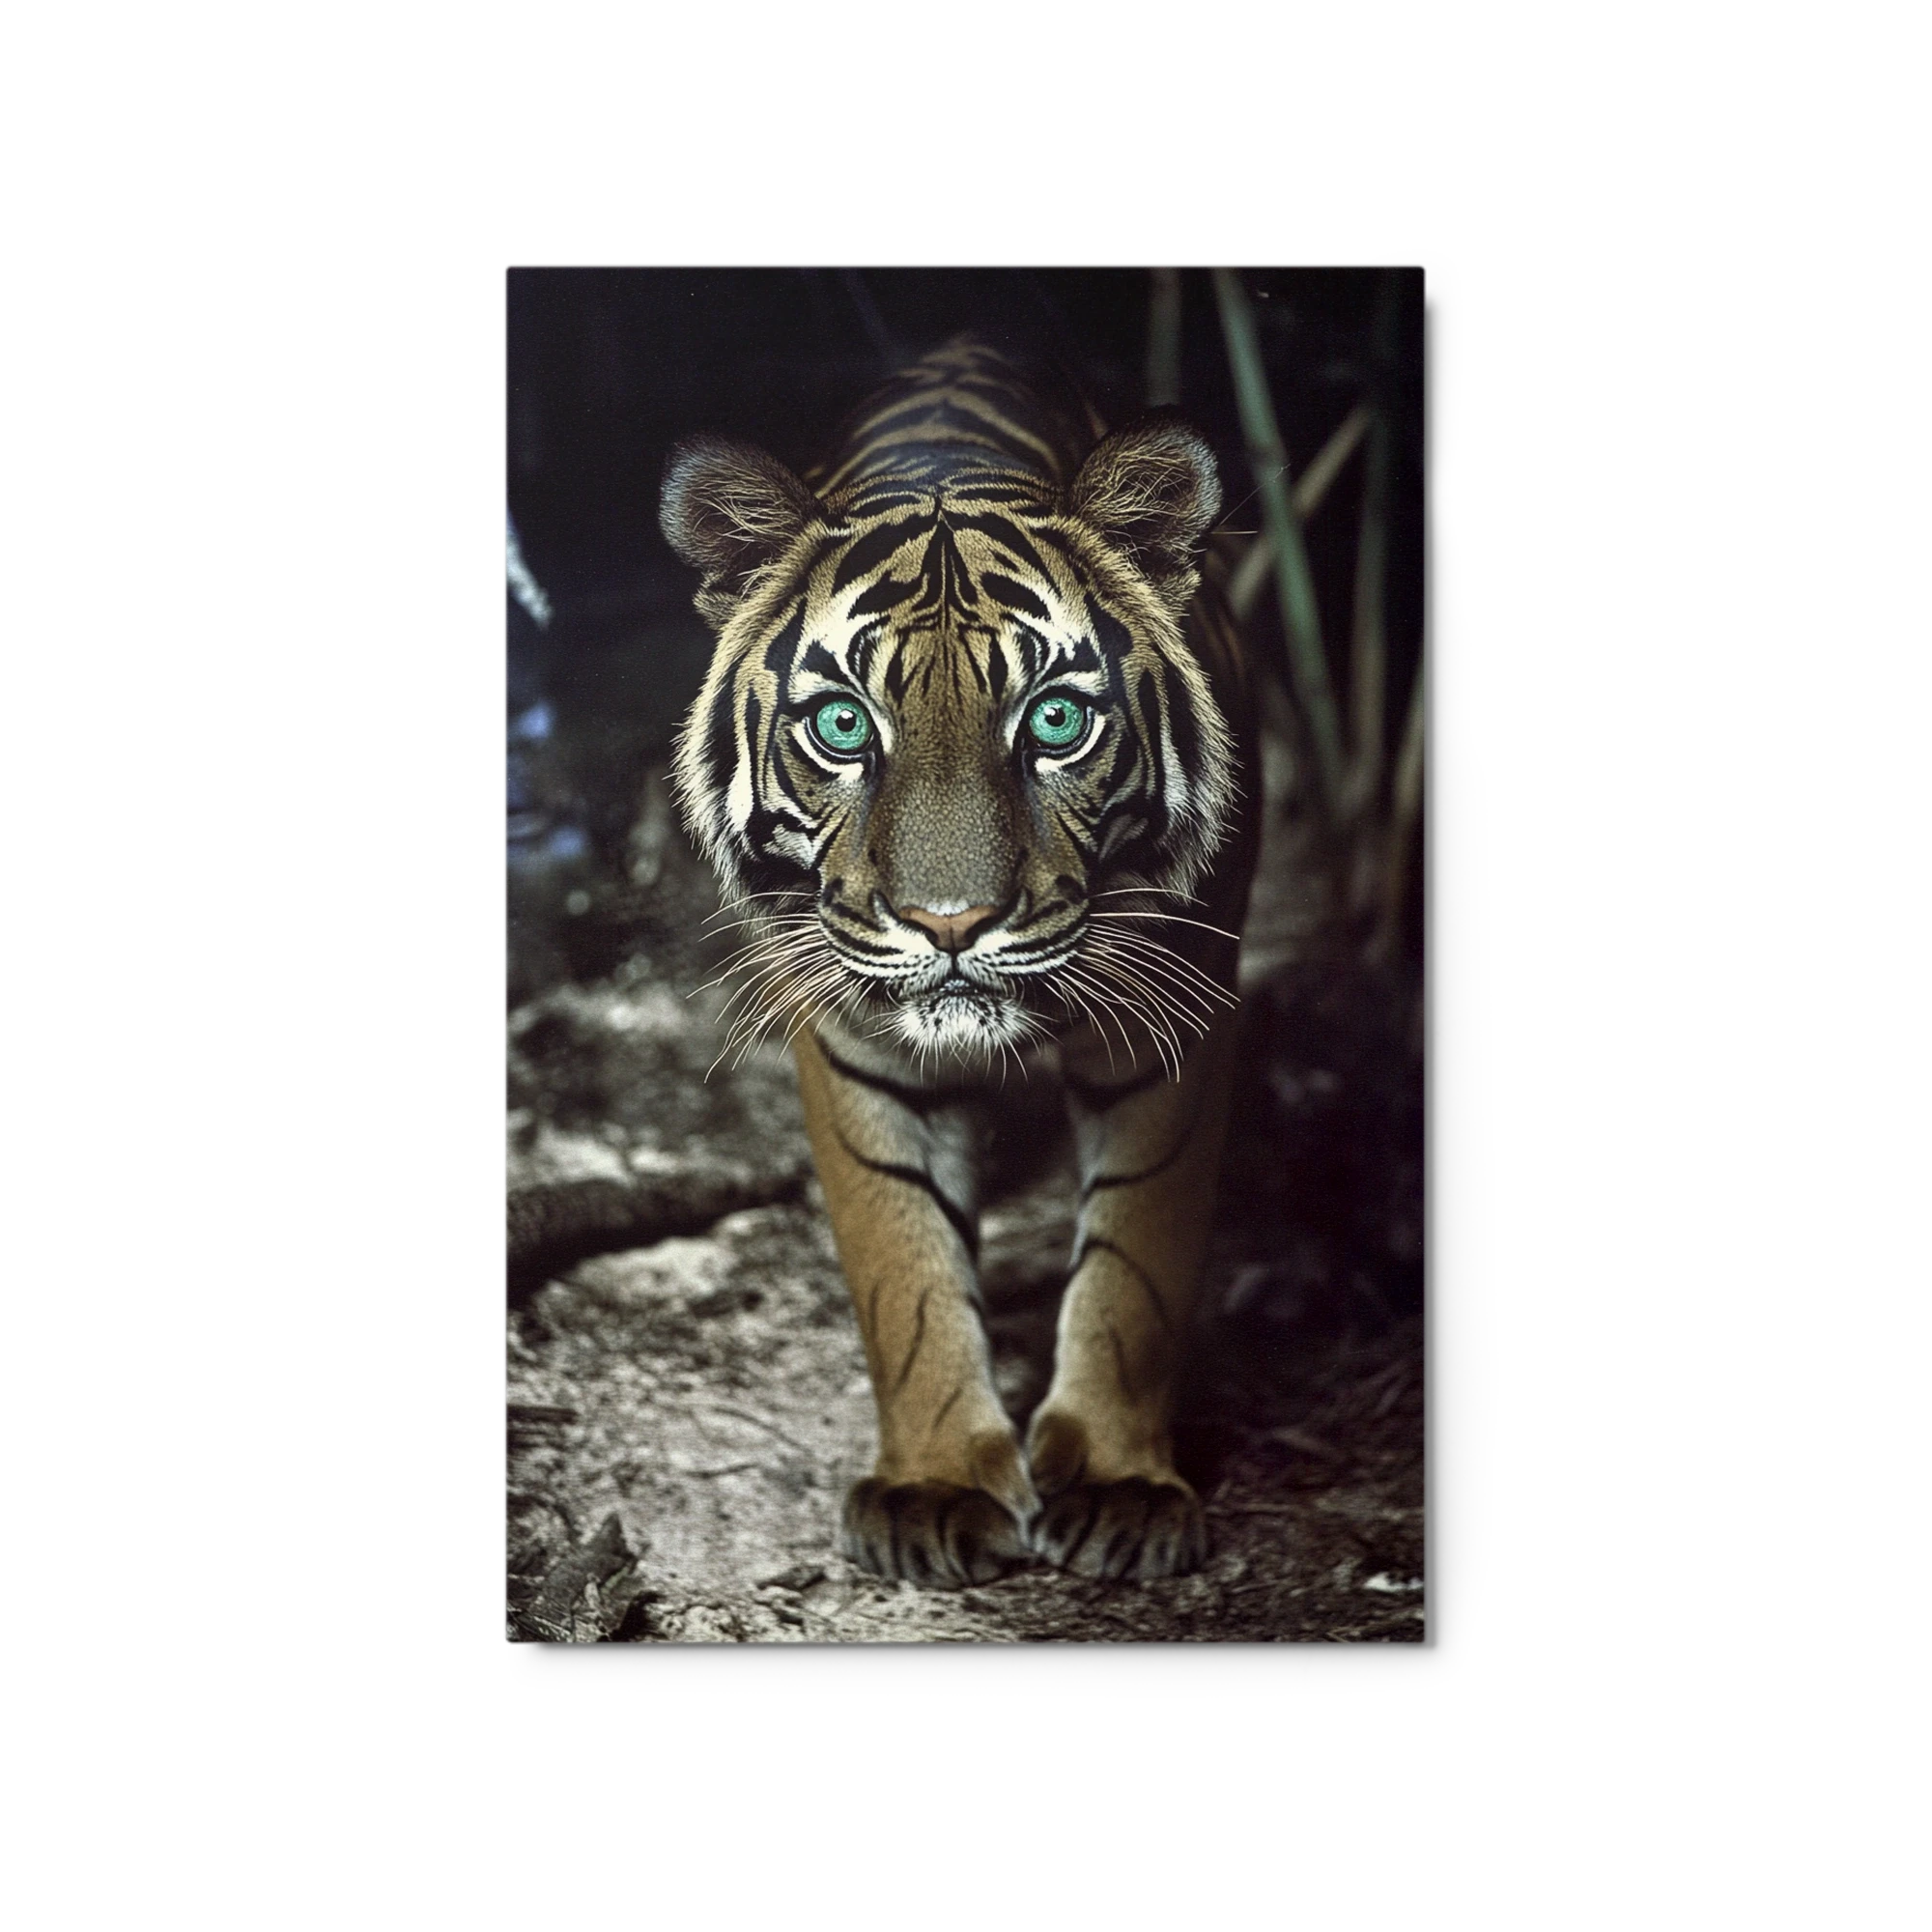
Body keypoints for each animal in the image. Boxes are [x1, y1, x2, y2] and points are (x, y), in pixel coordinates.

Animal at [660, 336, 1261, 1585]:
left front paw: (1119, 1484)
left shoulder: (1178, 1013)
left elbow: (1139, 1255)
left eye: (1054, 721)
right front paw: (935, 1483)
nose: (949, 923)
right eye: (842, 725)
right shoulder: (854, 1043)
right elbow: (904, 1261)